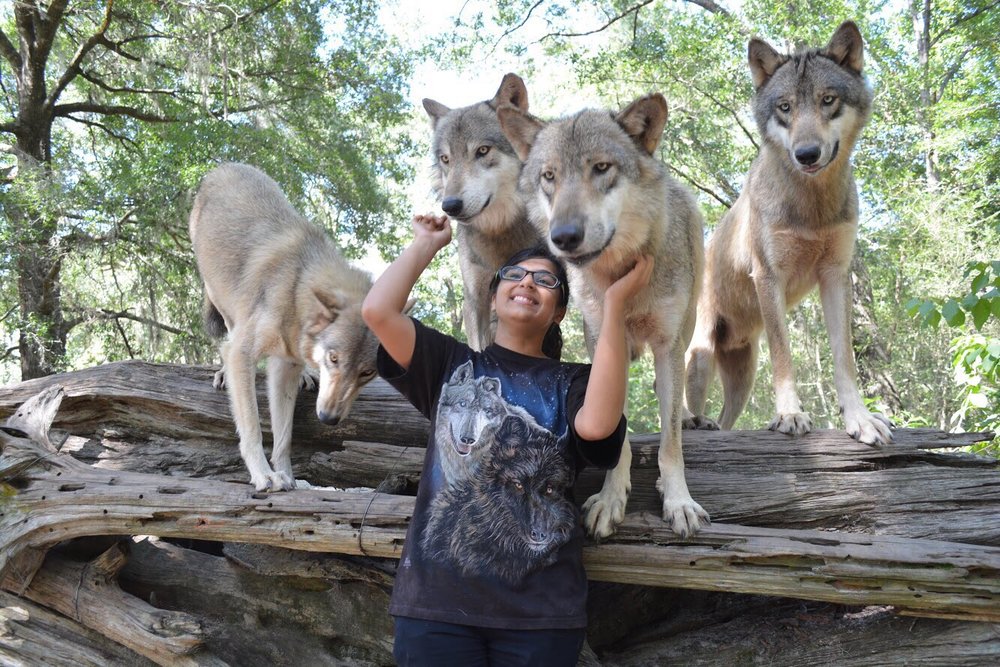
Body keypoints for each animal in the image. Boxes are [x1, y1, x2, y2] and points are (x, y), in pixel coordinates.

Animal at [190, 162, 381, 492]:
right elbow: (252, 428)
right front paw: (264, 475)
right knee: (227, 333)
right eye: (333, 359)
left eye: (367, 373)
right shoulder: (243, 354)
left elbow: (284, 437)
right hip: (219, 295)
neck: (296, 292)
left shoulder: (284, 368)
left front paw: (288, 476)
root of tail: (223, 165)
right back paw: (223, 372)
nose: (329, 419)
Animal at [499, 94, 710, 539]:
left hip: (683, 335)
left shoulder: (667, 346)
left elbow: (670, 444)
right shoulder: (602, 346)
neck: (619, 278)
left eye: (600, 168)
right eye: (549, 176)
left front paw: (678, 501)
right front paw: (613, 498)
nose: (563, 236)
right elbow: (617, 433)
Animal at [683, 21, 893, 446]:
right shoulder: (768, 277)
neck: (812, 208)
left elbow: (845, 360)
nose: (807, 154)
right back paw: (691, 422)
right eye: (785, 107)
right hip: (700, 359)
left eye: (827, 100)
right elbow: (784, 356)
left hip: (743, 377)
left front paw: (860, 419)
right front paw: (790, 415)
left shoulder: (835, 277)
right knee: (679, 403)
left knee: (726, 421)